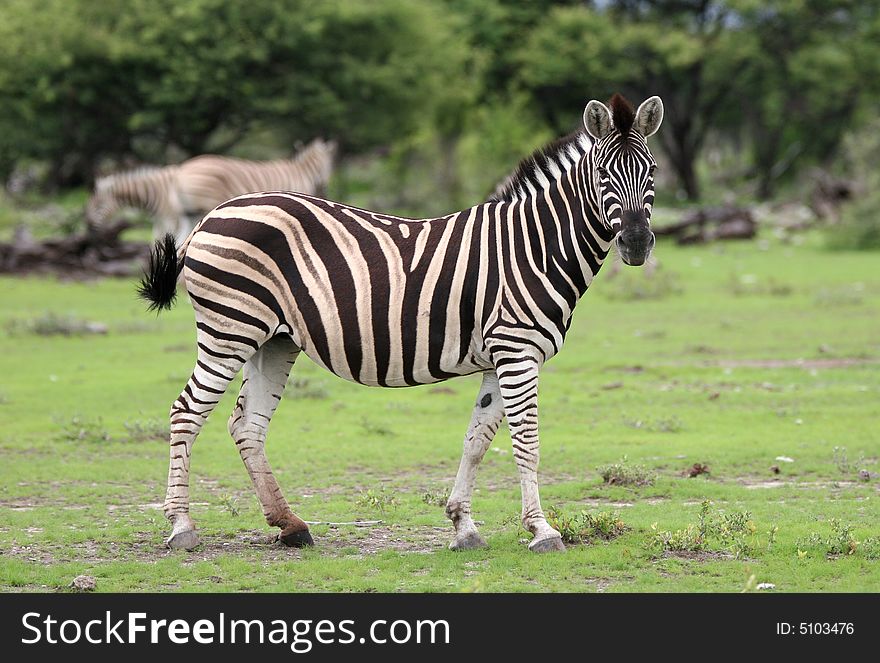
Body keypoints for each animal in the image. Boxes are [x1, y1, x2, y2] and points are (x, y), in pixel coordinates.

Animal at [136, 93, 660, 556]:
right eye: (603, 173)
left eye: (652, 172)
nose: (636, 243)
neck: (534, 246)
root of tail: (211, 216)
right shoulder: (517, 352)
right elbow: (525, 441)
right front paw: (542, 531)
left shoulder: (501, 358)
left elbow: (476, 441)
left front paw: (463, 526)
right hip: (229, 329)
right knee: (186, 413)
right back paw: (182, 527)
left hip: (273, 339)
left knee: (247, 425)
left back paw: (291, 526)